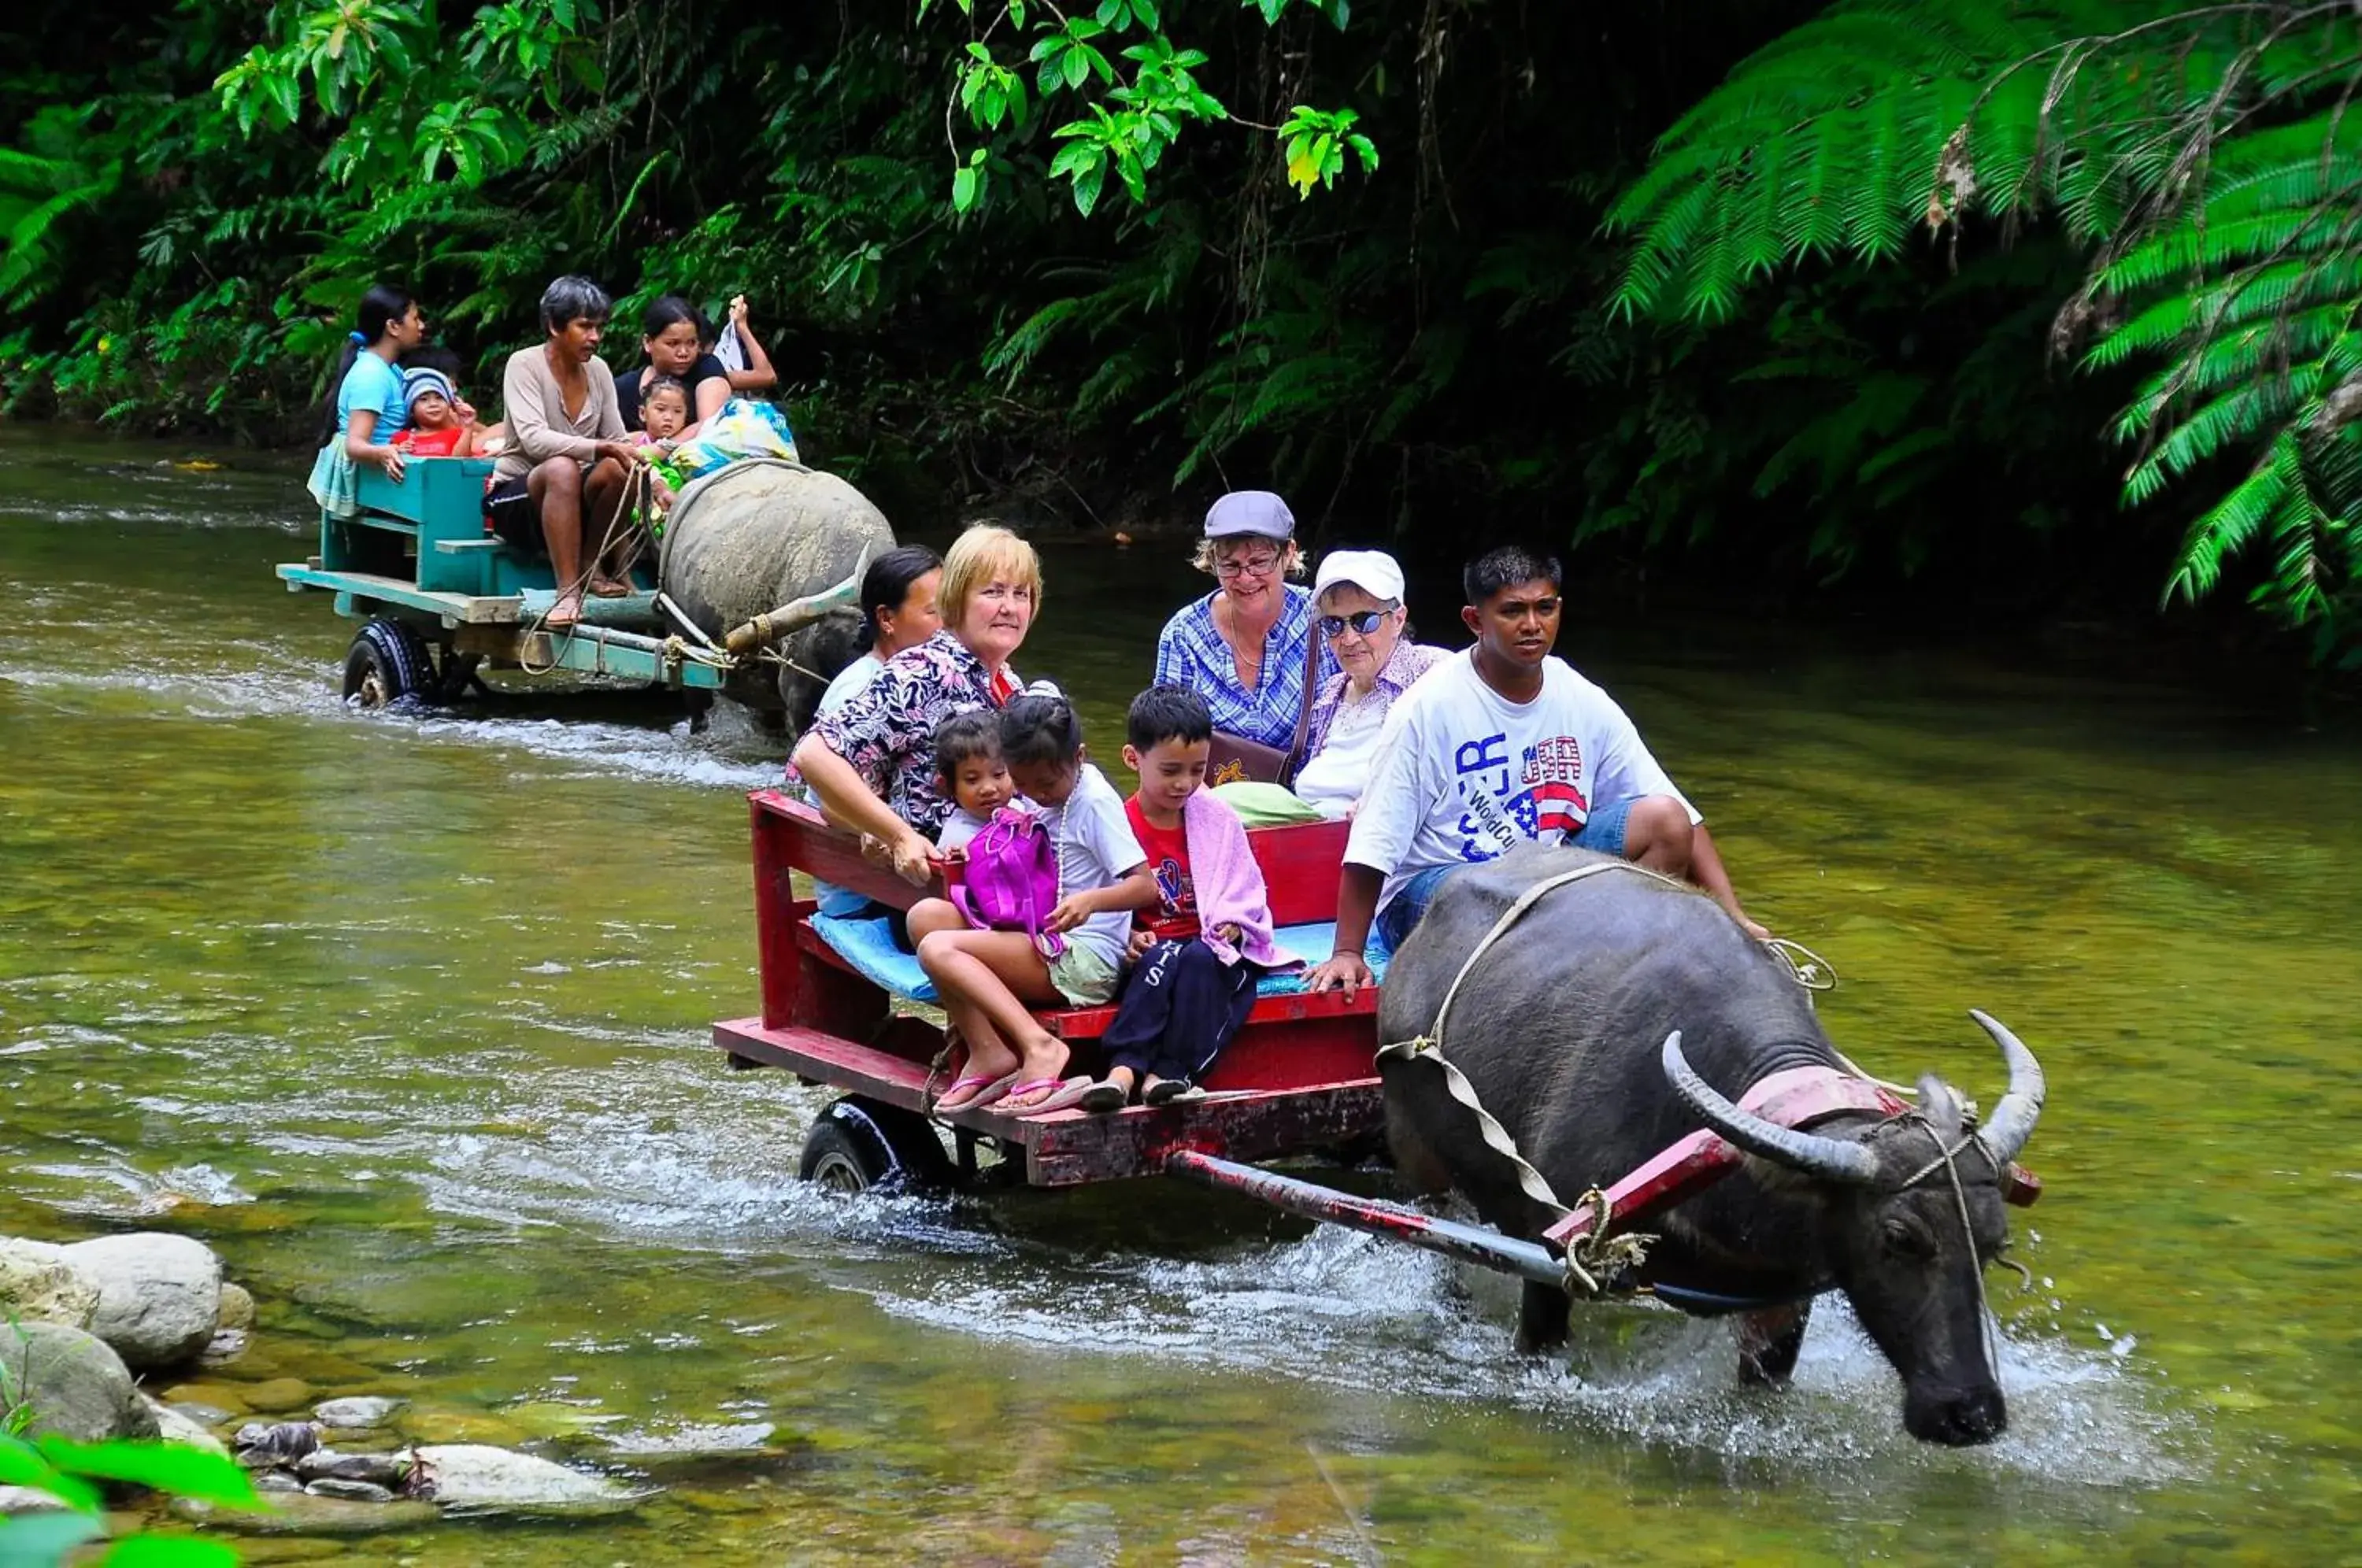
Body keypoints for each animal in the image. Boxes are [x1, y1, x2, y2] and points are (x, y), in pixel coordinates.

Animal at [1379, 845, 2050, 1445]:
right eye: (1899, 1239)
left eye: (1994, 1242)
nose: (1971, 1414)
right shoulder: (1548, 1252)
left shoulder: (1782, 1300)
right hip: (1418, 1158)